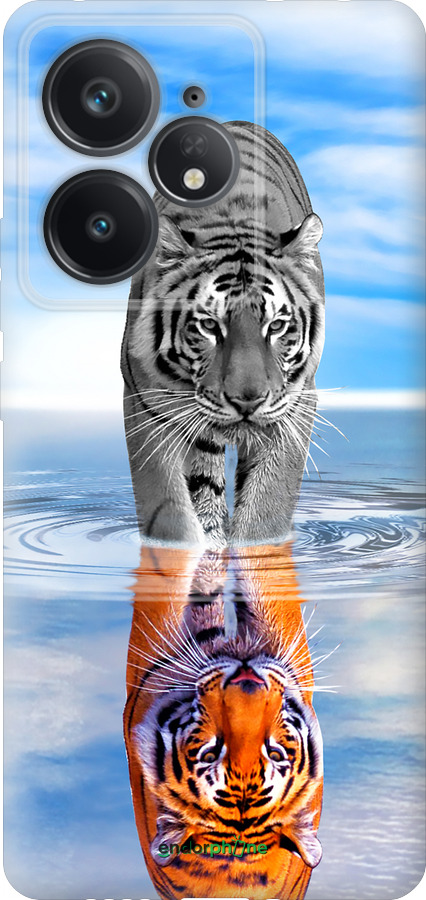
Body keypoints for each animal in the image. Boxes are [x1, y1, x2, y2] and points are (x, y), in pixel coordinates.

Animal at [121, 121, 325, 548]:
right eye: (209, 325)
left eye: (277, 326)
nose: (248, 400)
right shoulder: (145, 403)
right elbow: (169, 511)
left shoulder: (296, 404)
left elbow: (267, 509)